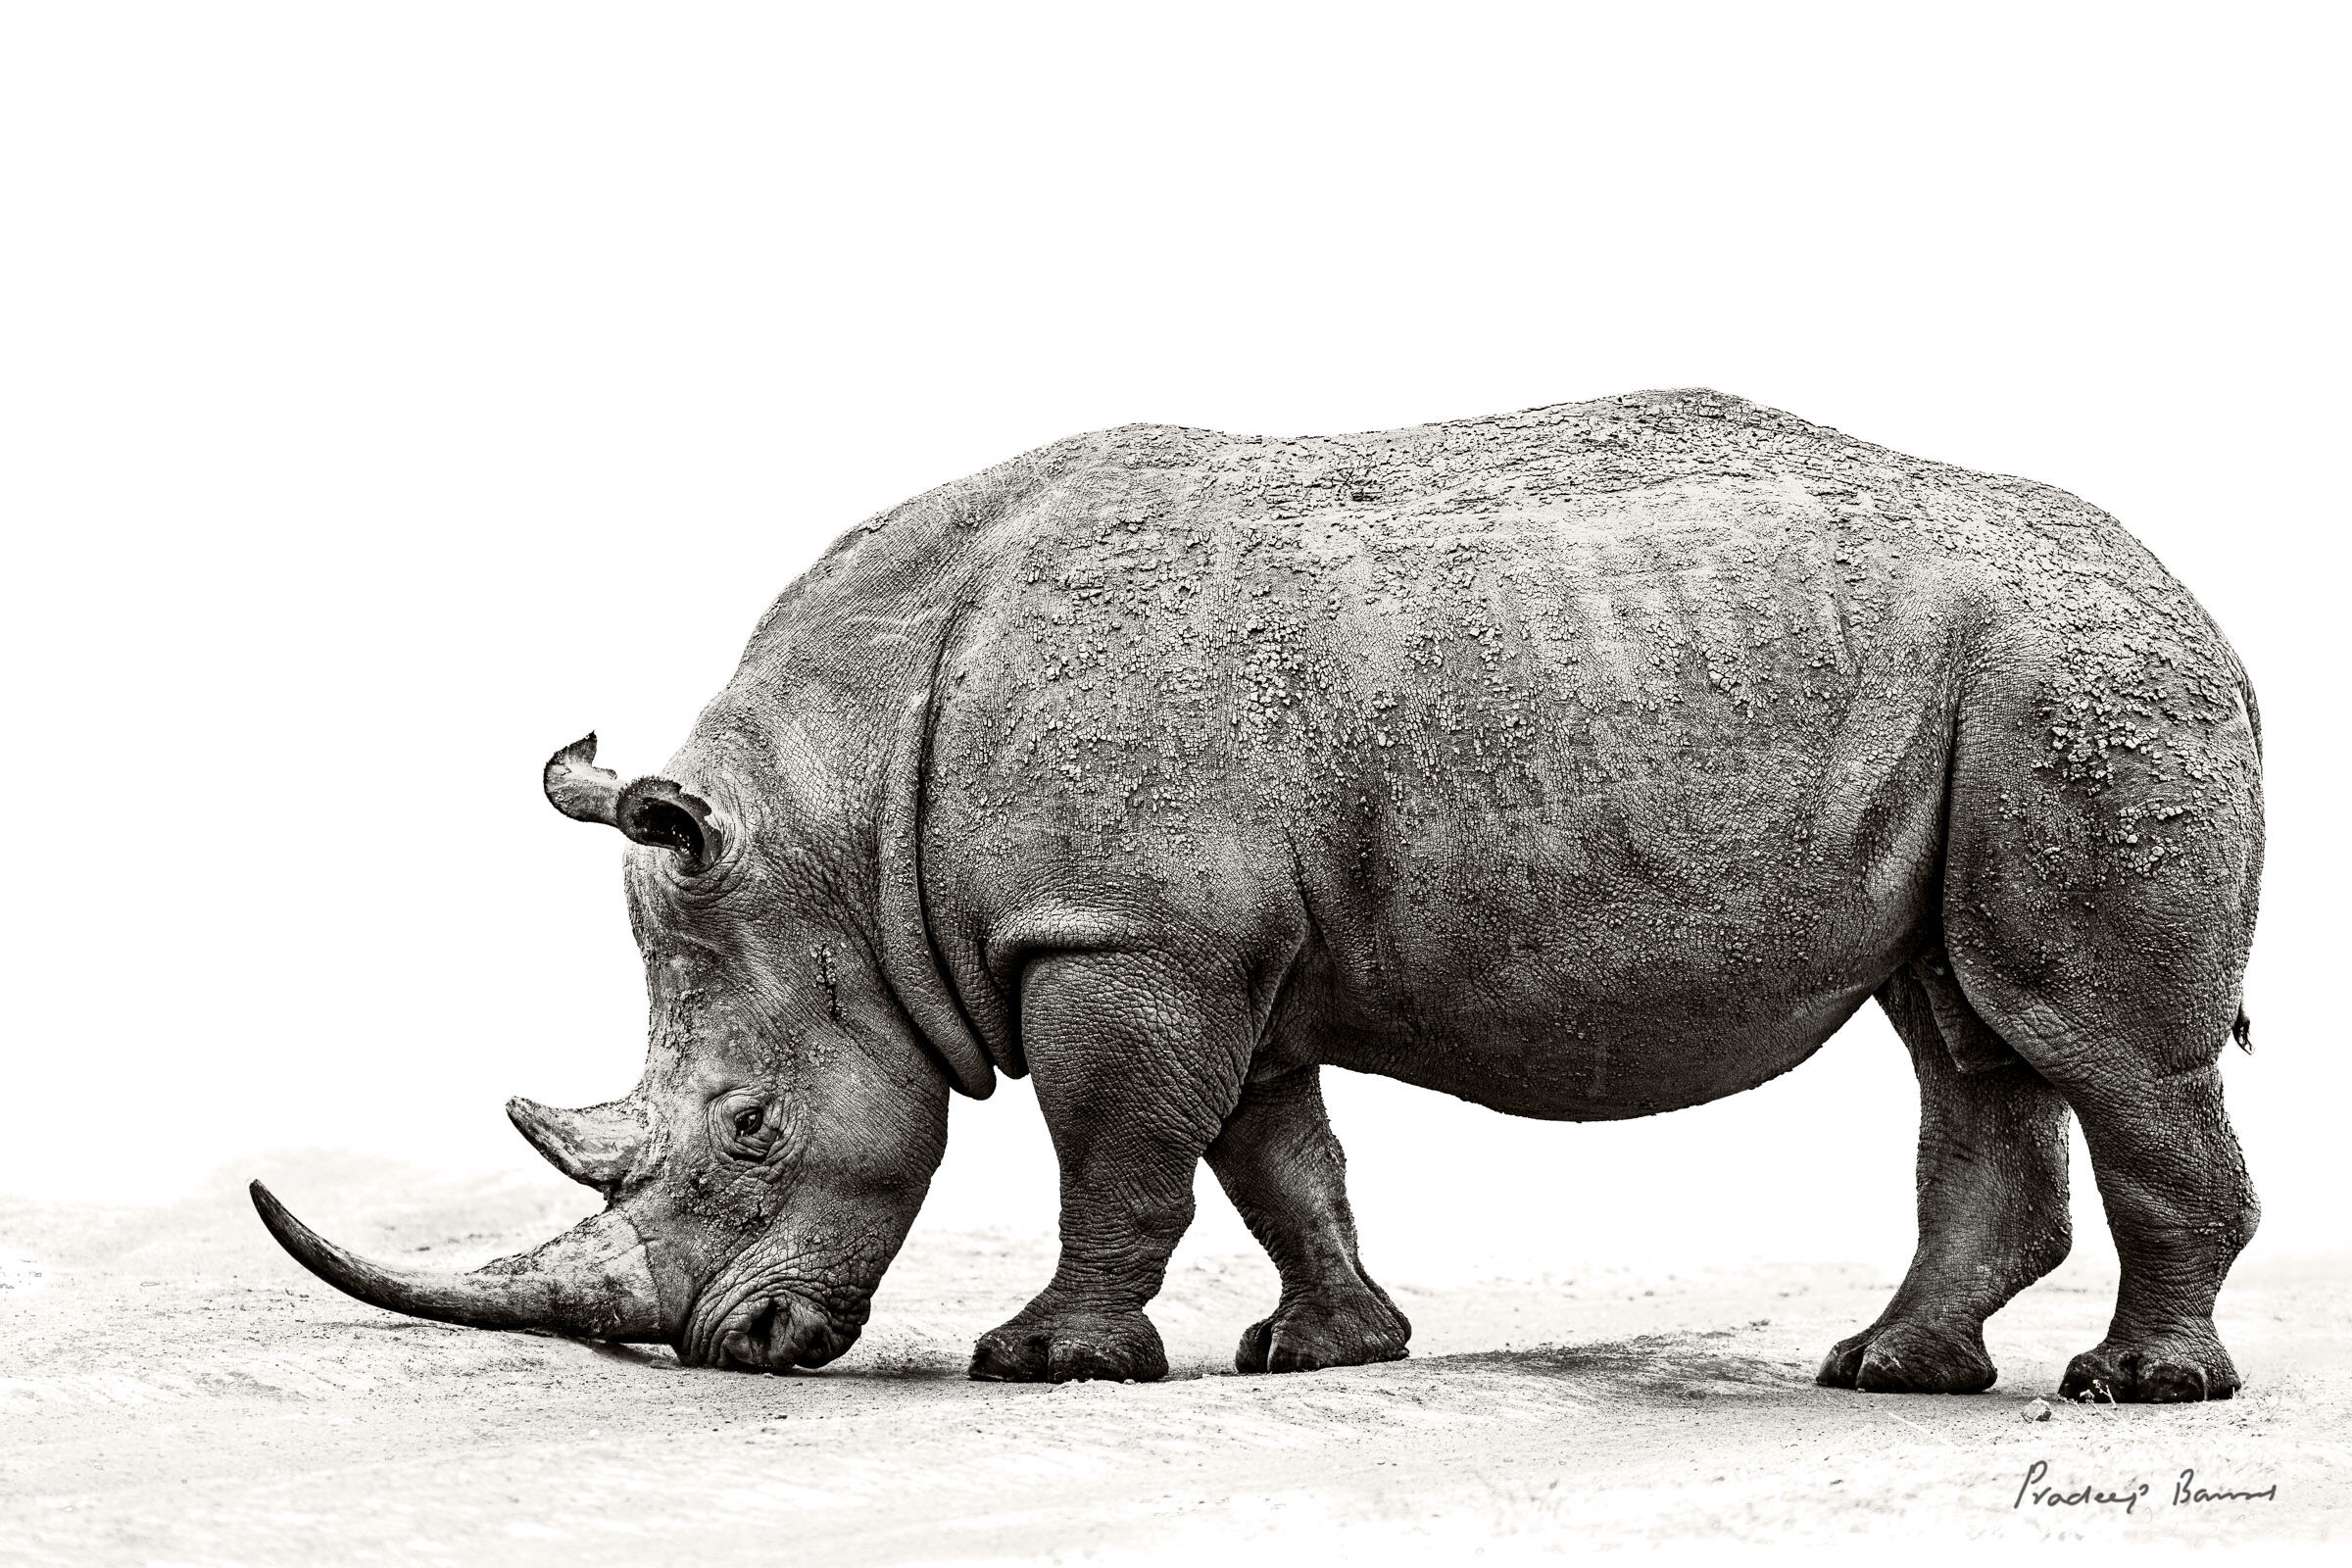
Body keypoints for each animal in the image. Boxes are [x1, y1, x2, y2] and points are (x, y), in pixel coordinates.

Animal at [253, 389, 2263, 1402]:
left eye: (748, 1127)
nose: (722, 1352)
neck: (839, 817)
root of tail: (2203, 609)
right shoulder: (1210, 941)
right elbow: (1270, 1153)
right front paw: (1322, 1349)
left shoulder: (1121, 932)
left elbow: (1121, 1154)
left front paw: (1048, 1364)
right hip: (1998, 699)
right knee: (1968, 1031)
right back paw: (1891, 1372)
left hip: (2080, 686)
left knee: (2099, 1043)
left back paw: (2134, 1392)